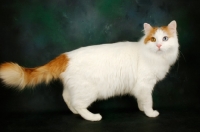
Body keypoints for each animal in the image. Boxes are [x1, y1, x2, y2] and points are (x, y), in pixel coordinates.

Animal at [0, 20, 178, 120]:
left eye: (165, 39)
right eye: (153, 39)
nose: (159, 45)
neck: (154, 56)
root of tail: (65, 56)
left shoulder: (142, 87)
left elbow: (142, 100)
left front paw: (141, 108)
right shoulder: (145, 85)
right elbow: (148, 101)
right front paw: (150, 113)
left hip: (74, 87)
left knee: (67, 98)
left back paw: (75, 113)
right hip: (88, 91)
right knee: (78, 103)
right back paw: (91, 117)